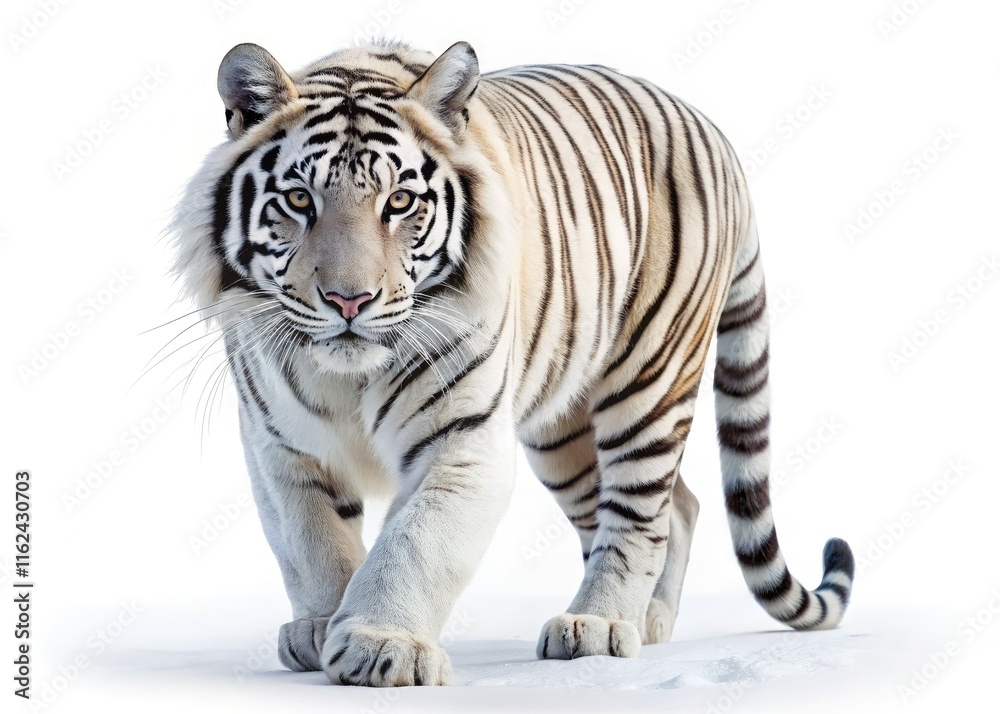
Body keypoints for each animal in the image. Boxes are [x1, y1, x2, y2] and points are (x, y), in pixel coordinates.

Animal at [171, 39, 855, 687]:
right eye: (297, 199)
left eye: (400, 202)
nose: (349, 300)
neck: (350, 376)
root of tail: (710, 127)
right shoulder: (281, 447)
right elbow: (312, 543)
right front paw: (319, 626)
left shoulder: (461, 439)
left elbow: (414, 544)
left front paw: (381, 645)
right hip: (562, 433)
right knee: (675, 506)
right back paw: (647, 618)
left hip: (651, 375)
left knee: (640, 511)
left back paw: (602, 624)